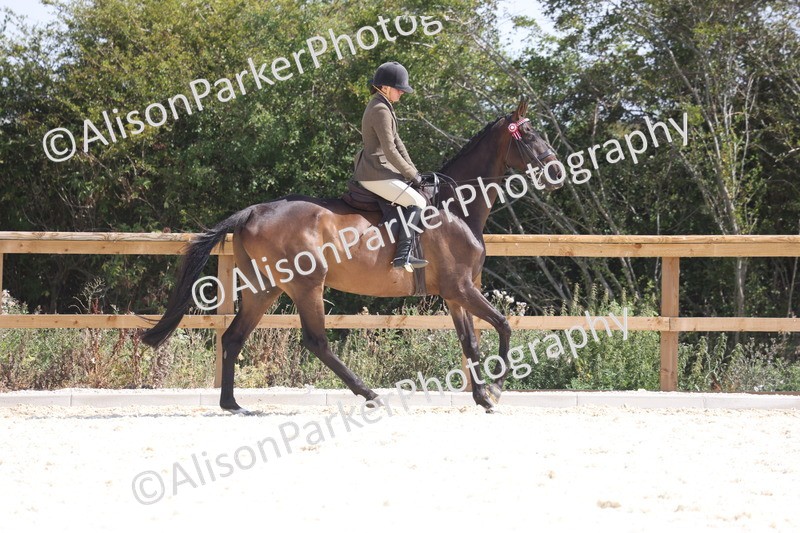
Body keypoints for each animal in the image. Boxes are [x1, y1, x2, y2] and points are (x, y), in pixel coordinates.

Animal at [140, 98, 563, 413]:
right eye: (529, 133)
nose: (558, 170)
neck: (457, 207)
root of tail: (254, 210)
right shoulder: (461, 288)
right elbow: (504, 326)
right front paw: (496, 390)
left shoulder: (455, 293)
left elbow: (471, 343)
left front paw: (482, 397)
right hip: (306, 285)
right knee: (316, 342)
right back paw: (369, 394)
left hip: (265, 288)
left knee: (233, 337)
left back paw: (232, 404)